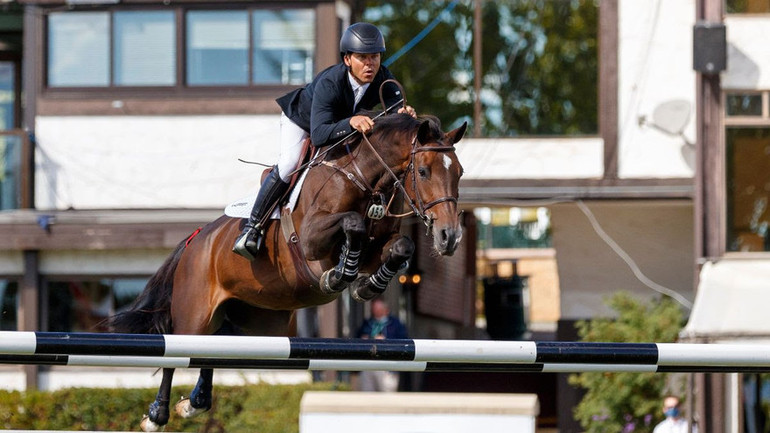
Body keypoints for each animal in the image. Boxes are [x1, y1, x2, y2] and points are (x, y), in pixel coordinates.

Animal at [109, 111, 464, 428]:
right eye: (423, 171)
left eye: (459, 173)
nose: (449, 237)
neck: (363, 178)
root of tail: (194, 240)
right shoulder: (310, 242)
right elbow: (353, 223)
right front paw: (339, 275)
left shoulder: (381, 246)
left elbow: (401, 246)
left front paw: (367, 286)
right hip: (196, 313)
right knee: (177, 348)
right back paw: (157, 415)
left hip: (253, 320)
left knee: (211, 349)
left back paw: (195, 403)